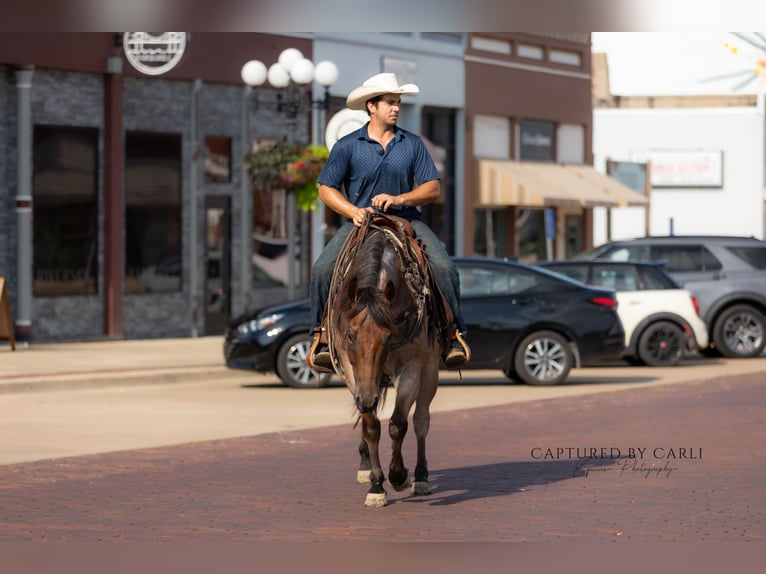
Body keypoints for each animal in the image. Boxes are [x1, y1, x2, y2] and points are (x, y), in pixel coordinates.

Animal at [325, 213, 450, 507]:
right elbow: (371, 426)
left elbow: (398, 424)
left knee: (421, 420)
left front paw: (398, 475)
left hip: (430, 371)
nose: (367, 398)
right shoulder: (353, 373)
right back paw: (365, 467)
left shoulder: (412, 368)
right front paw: (376, 485)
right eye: (349, 335)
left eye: (388, 335)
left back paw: (421, 477)